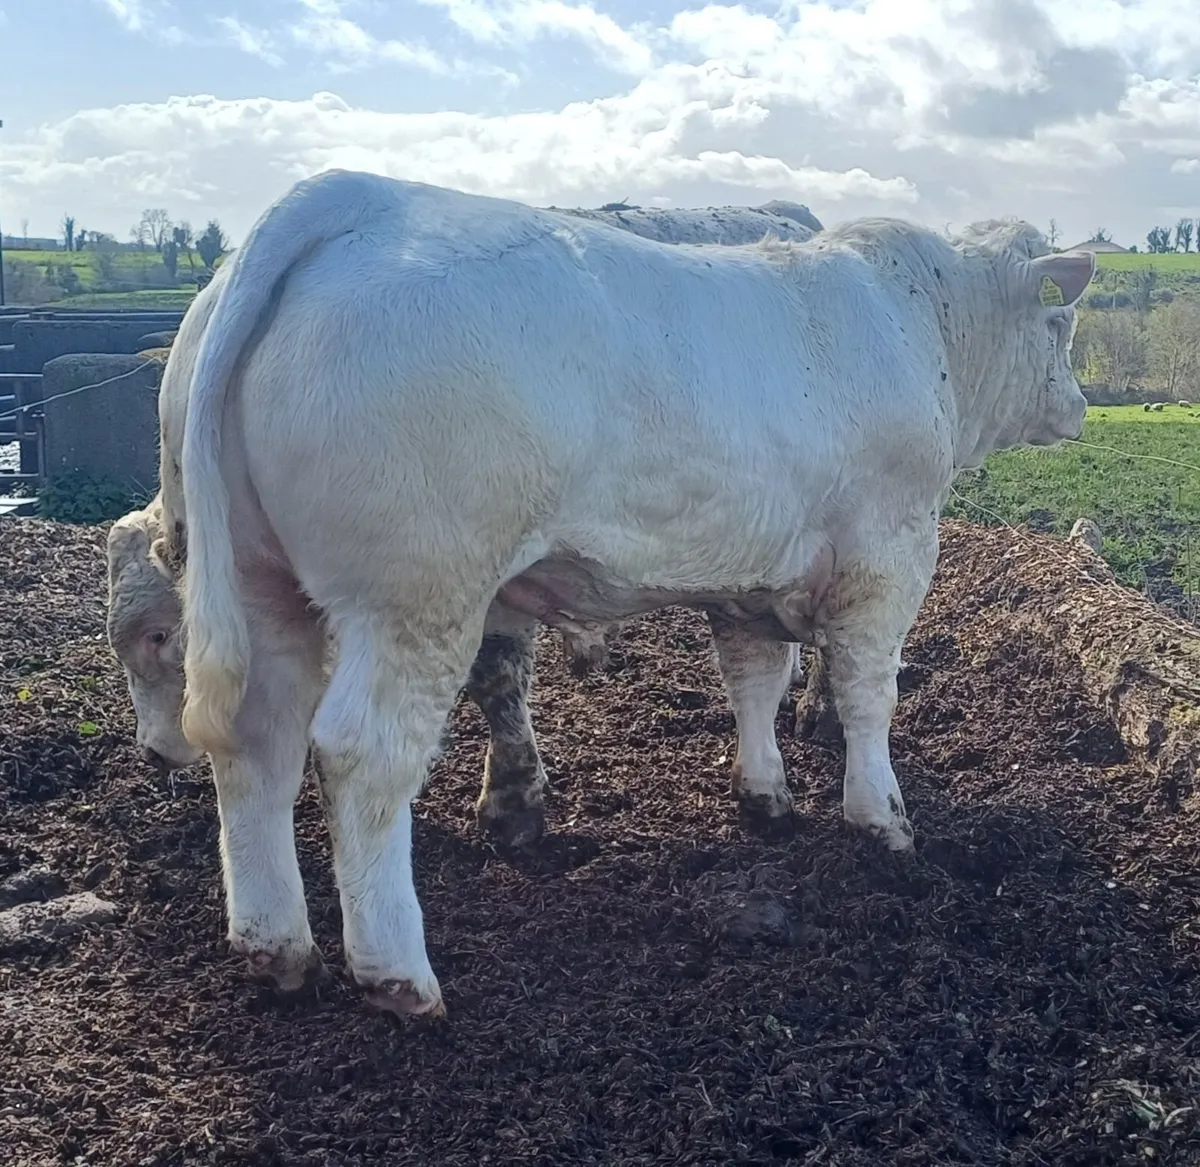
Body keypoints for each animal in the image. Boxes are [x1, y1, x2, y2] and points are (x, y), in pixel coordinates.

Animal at [167, 169, 1093, 1020]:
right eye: (1060, 323)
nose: (1081, 406)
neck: (925, 321)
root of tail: (356, 196)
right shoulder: (889, 551)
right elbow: (869, 693)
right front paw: (883, 821)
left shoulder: (750, 572)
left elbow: (755, 680)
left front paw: (767, 796)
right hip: (416, 594)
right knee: (363, 754)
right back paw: (398, 973)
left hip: (259, 582)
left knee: (257, 738)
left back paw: (276, 948)